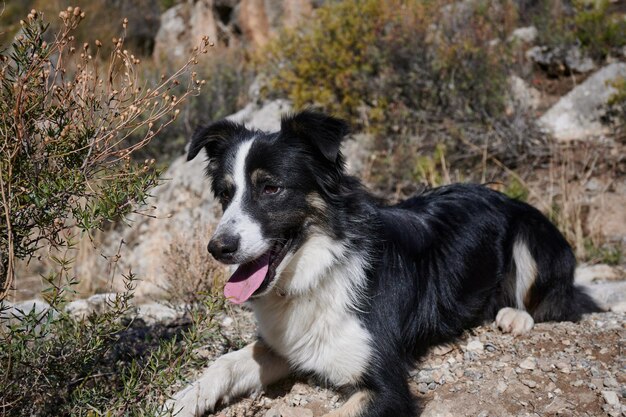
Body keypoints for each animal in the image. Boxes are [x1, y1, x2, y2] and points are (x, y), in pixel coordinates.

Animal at [167, 110, 600, 416]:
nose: (218, 248)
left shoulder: (386, 387)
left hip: (530, 232)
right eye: (225, 194)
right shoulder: (288, 345)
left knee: (559, 303)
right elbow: (224, 363)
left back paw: (515, 316)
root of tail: (506, 196)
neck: (321, 268)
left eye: (271, 188)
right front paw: (181, 400)